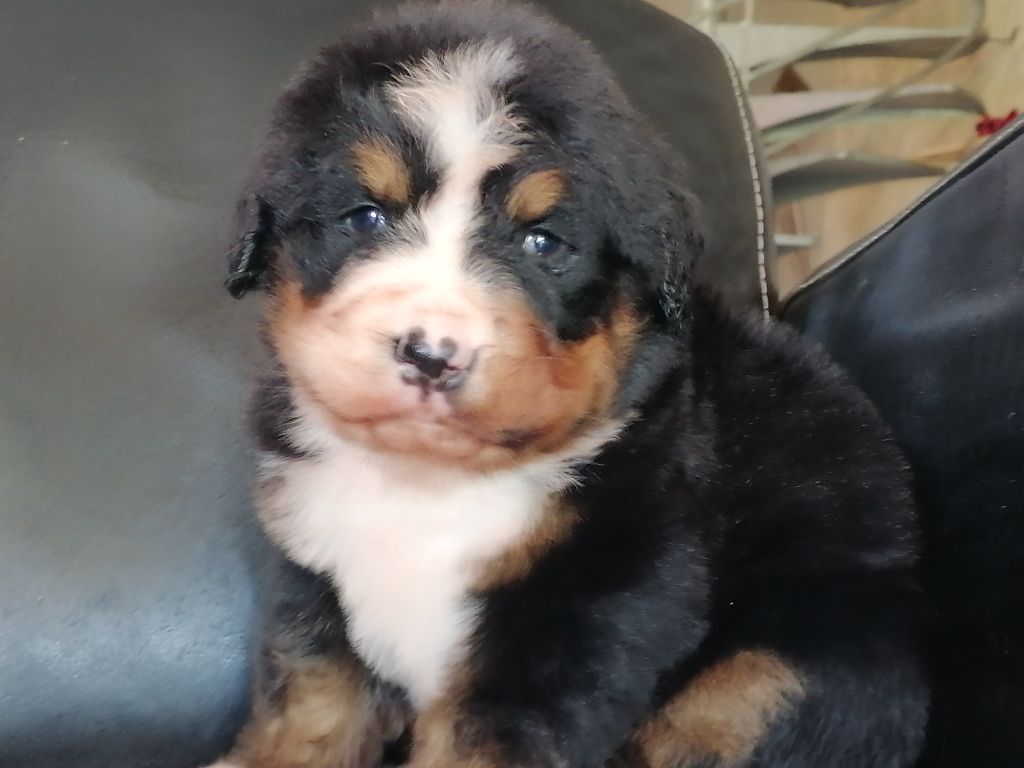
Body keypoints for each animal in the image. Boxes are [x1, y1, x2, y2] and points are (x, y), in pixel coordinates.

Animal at [208, 2, 928, 767]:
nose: (432, 355)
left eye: (543, 242)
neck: (429, 486)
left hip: (771, 671)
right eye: (364, 216)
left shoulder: (582, 616)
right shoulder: (314, 569)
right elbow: (311, 704)